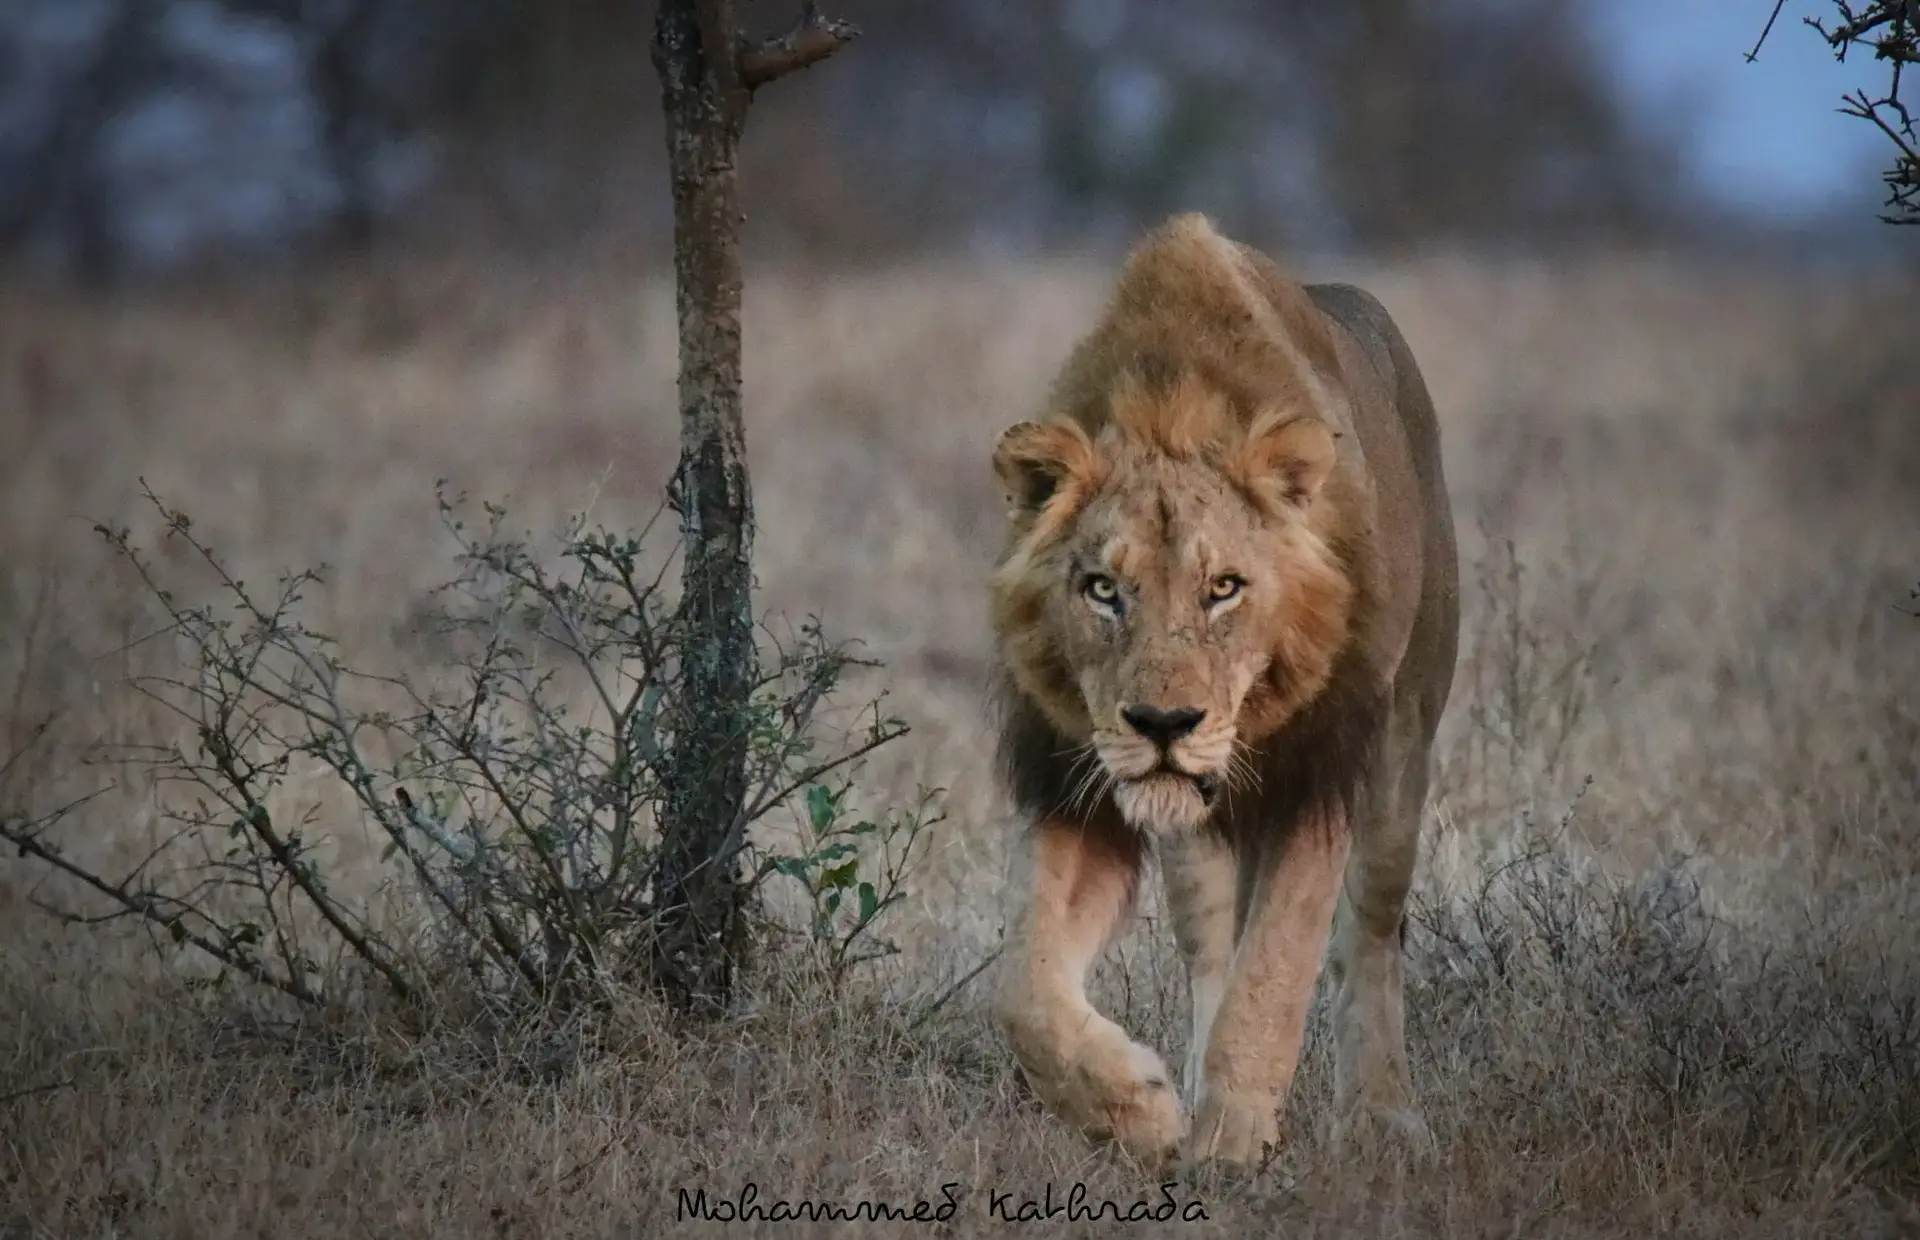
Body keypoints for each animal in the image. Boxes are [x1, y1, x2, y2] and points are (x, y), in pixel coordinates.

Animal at [987, 212, 1459, 1170]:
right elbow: (1025, 988)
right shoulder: (1078, 783)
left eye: (1225, 588)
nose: (1163, 723)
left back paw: (1382, 1115)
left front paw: (1235, 1139)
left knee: (1370, 932)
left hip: (1405, 741)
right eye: (1103, 589)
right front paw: (1137, 1109)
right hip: (1192, 839)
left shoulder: (1320, 776)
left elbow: (1277, 969)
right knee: (1211, 948)